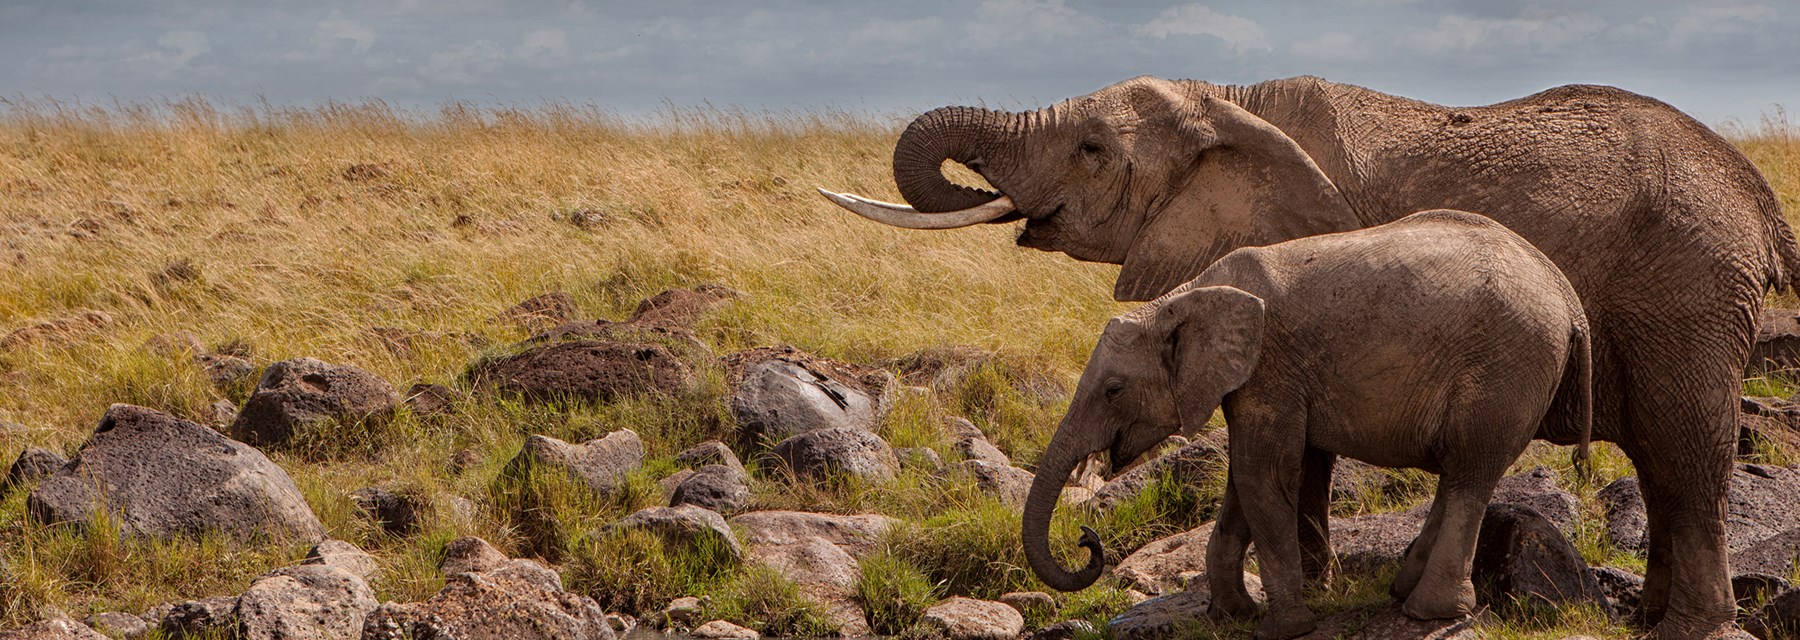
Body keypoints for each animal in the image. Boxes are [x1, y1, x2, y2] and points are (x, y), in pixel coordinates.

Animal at [1020, 210, 1593, 639]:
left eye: (1113, 390)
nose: (1086, 539)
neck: (1185, 297)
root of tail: (1570, 300)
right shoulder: (1257, 380)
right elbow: (1248, 481)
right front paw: (1233, 615)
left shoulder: (1269, 369)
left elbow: (1262, 475)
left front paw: (1282, 629)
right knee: (1459, 475)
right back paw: (1403, 590)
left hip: (1503, 369)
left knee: (1470, 472)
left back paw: (1427, 612)